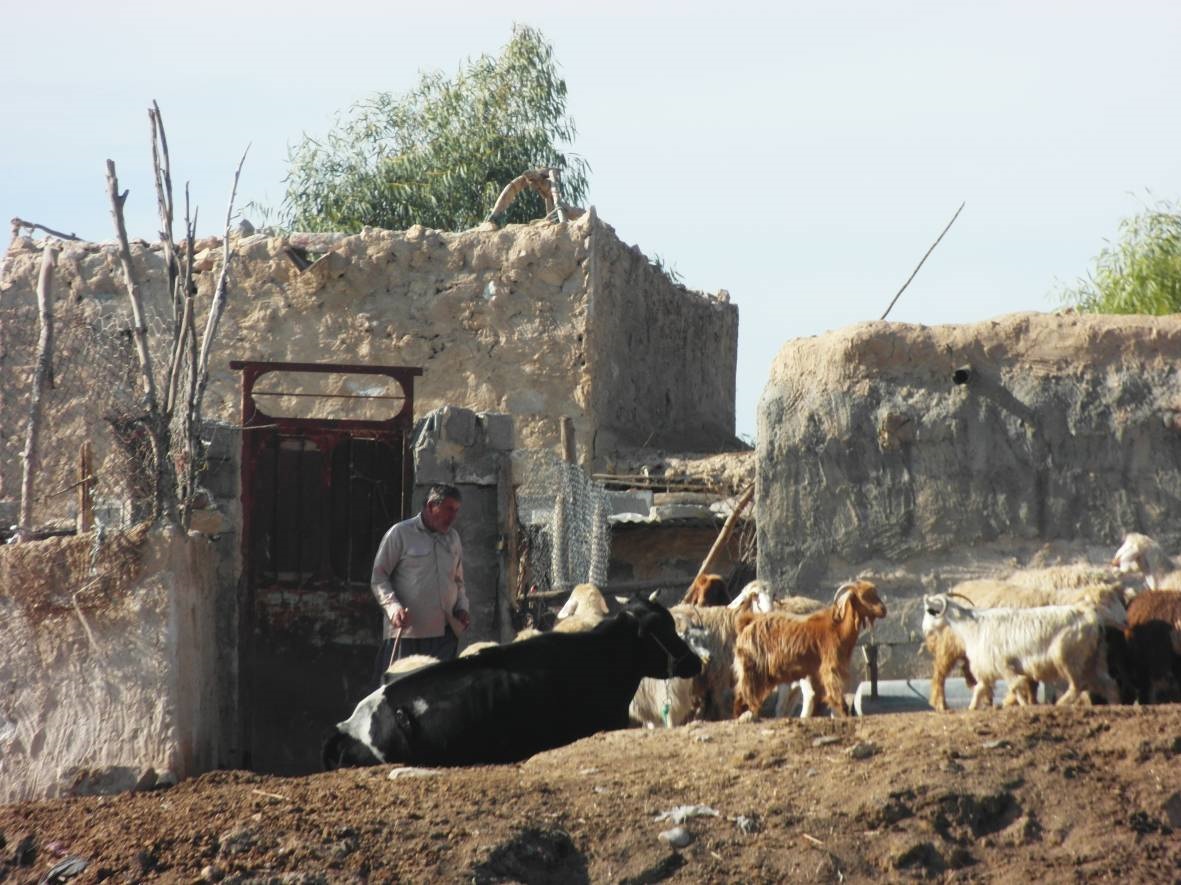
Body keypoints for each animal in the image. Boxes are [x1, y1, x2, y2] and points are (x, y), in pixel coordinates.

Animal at [727, 578, 888, 718]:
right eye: (863, 596)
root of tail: (747, 623)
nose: (883, 610)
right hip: (754, 670)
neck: (838, 628)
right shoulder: (829, 668)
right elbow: (833, 696)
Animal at [916, 590, 1119, 708]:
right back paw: (1115, 705)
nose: (924, 631)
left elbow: (1015, 685)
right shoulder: (988, 671)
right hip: (1095, 659)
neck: (972, 627)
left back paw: (1060, 704)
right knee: (1109, 684)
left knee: (1077, 686)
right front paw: (972, 709)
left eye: (930, 611)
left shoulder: (1004, 665)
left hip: (1068, 658)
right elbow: (980, 690)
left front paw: (1023, 707)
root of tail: (1090, 615)